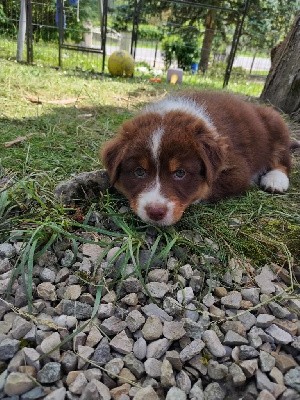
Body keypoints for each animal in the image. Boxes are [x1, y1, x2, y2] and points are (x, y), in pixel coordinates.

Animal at [102, 92, 294, 227]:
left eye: (180, 173)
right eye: (139, 172)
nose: (155, 212)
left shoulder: (238, 170)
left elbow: (207, 187)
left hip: (276, 124)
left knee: (283, 159)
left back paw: (275, 180)